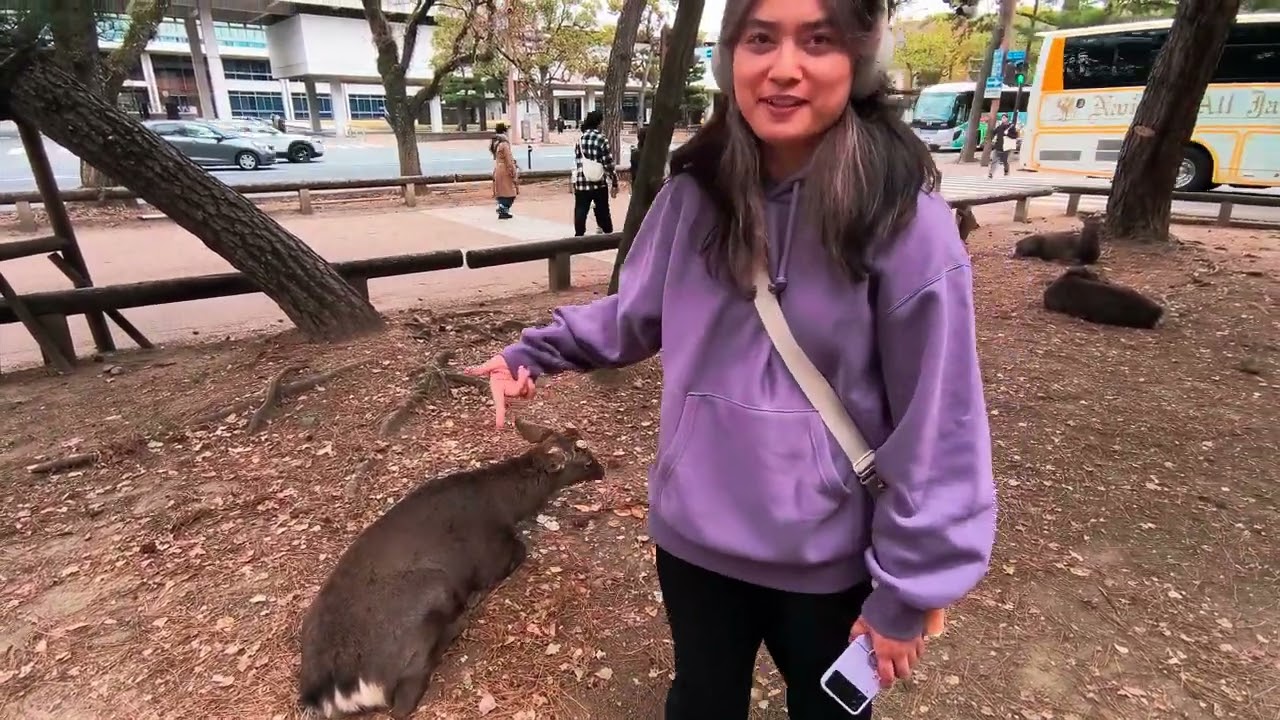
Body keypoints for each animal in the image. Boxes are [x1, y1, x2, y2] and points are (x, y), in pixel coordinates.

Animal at [298, 419, 605, 719]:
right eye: (586, 459)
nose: (602, 471)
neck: (507, 506)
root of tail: (333, 691)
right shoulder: (490, 553)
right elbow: (519, 551)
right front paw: (478, 594)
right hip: (434, 591)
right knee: (404, 701)